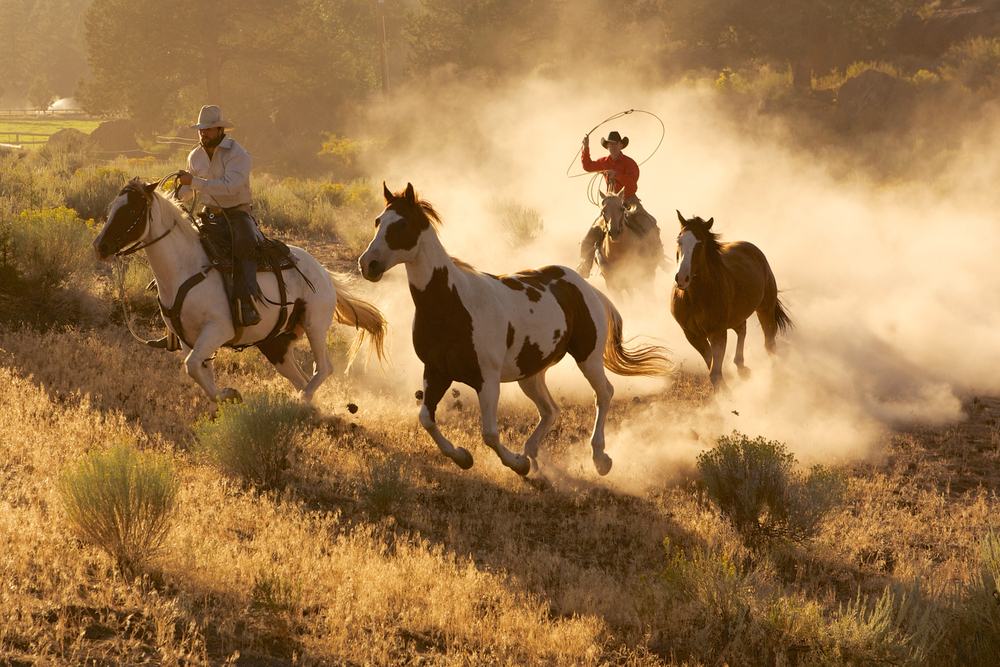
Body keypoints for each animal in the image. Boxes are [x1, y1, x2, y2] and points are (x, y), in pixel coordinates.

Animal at [94, 177, 388, 404]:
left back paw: (303, 399)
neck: (185, 268)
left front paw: (229, 395)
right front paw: (225, 398)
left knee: (323, 368)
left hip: (314, 324)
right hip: (276, 343)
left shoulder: (218, 329)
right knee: (300, 376)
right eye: (111, 208)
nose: (100, 246)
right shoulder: (190, 338)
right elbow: (199, 370)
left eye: (130, 211)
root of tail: (323, 272)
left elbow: (191, 366)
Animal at [360, 181, 672, 474]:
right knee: (550, 410)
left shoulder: (487, 380)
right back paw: (533, 454)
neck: (452, 303)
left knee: (604, 393)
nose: (368, 264)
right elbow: (426, 419)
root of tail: (585, 288)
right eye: (377, 221)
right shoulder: (436, 371)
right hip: (531, 373)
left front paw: (517, 465)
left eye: (402, 224)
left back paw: (599, 458)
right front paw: (463, 457)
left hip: (588, 357)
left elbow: (489, 434)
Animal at [668, 211, 792, 394]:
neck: (695, 297)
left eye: (701, 243)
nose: (682, 278)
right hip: (737, 316)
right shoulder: (692, 335)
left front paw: (726, 396)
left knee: (769, 344)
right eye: (679, 240)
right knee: (742, 329)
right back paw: (742, 368)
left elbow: (715, 373)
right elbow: (712, 365)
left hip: (765, 309)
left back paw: (774, 378)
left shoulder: (718, 333)